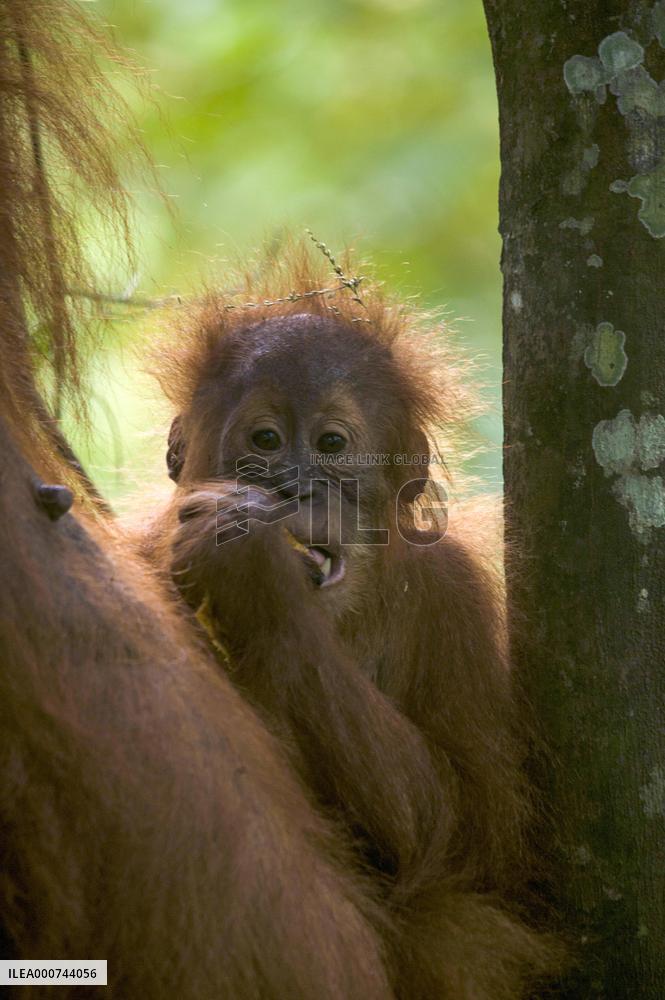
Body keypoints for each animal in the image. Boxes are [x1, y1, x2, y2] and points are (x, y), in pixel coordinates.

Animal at [137, 254, 564, 999]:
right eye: (266, 440)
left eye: (332, 445)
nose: (296, 486)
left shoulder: (453, 595)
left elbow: (480, 827)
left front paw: (251, 572)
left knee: (449, 924)